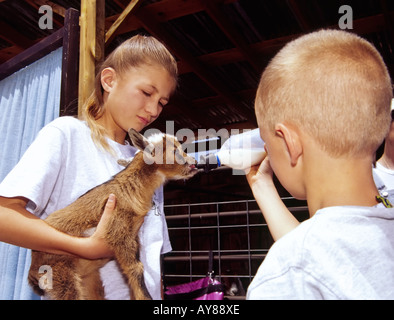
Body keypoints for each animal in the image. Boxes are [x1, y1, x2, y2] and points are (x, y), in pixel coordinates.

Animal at [28, 128, 197, 300]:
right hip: (59, 274)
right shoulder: (118, 230)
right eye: (174, 150)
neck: (128, 189)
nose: (194, 162)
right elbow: (136, 268)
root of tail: (32, 272)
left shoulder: (132, 236)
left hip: (88, 279)